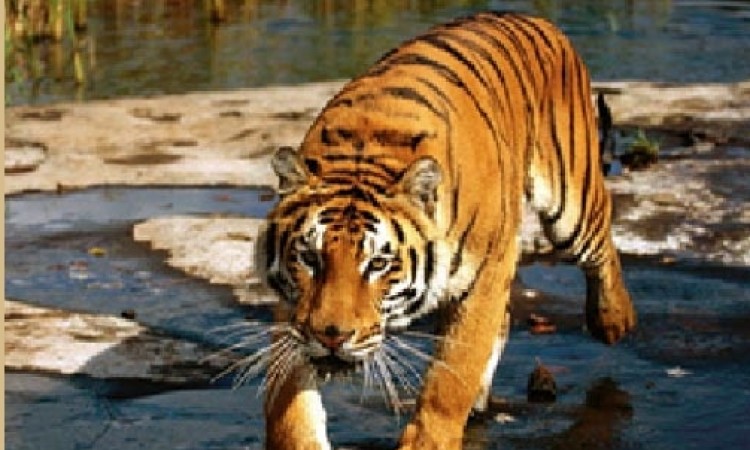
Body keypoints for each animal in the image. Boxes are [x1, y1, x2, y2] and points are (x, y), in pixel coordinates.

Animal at [253, 11, 636, 450]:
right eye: (309, 257)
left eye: (378, 263)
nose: (332, 336)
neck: (364, 154)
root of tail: (533, 17)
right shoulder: (295, 308)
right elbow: (289, 406)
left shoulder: (485, 275)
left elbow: (449, 380)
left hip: (570, 201)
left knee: (601, 244)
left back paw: (614, 320)